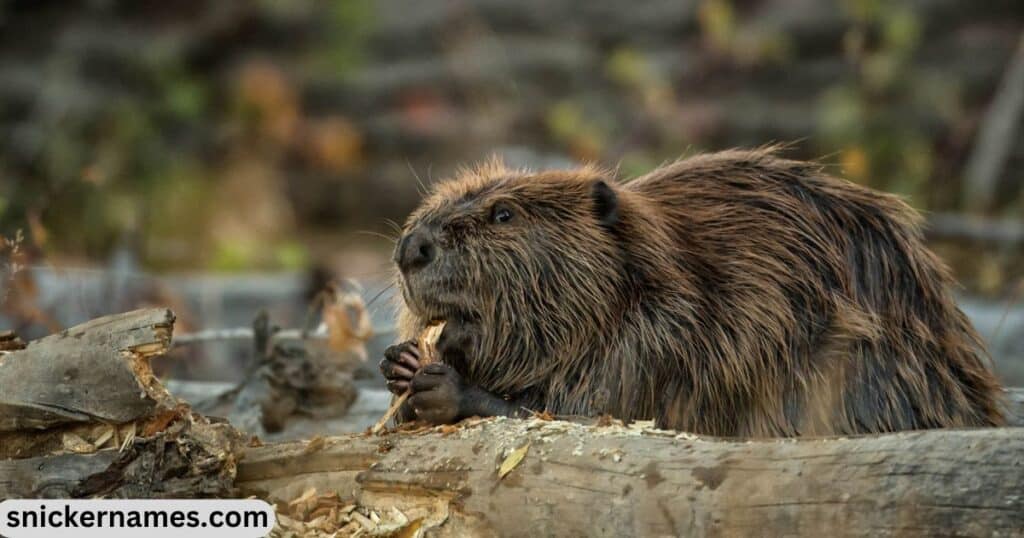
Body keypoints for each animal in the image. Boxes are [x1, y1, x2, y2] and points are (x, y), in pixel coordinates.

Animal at [380, 146, 1003, 436]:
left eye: (504, 214)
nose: (412, 246)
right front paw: (400, 362)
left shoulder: (667, 338)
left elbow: (597, 412)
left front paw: (442, 385)